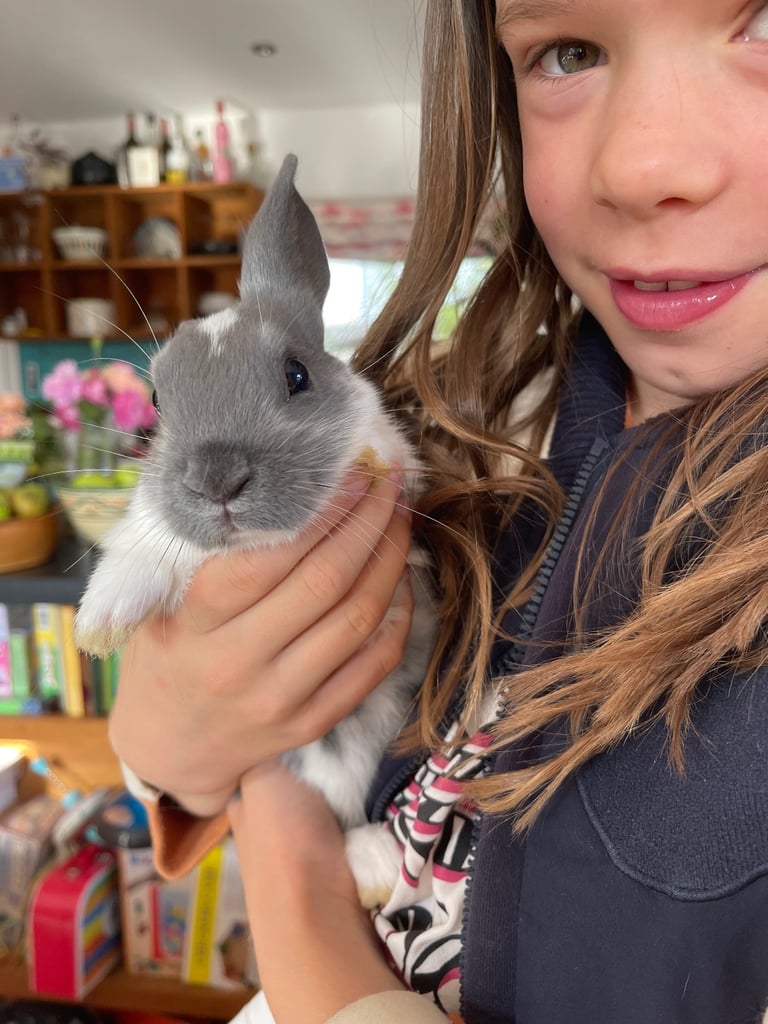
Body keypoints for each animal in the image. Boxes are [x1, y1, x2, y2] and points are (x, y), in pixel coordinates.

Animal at [74, 153, 437, 909]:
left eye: (297, 374)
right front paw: (100, 623)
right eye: (157, 401)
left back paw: (373, 864)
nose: (216, 482)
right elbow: (151, 542)